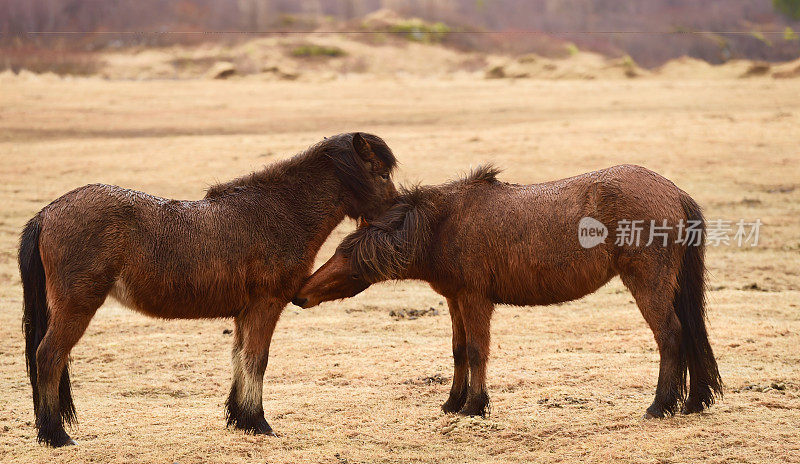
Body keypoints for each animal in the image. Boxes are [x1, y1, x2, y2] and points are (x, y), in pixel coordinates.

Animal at [21, 131, 400, 446]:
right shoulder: (265, 306)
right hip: (76, 307)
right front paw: (259, 423)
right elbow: (256, 360)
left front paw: (241, 419)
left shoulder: (245, 312)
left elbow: (239, 358)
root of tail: (47, 213)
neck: (279, 213)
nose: (399, 215)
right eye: (382, 175)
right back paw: (56, 435)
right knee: (49, 357)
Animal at [294, 166, 724, 420]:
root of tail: (673, 191)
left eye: (345, 252)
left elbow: (475, 351)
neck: (442, 225)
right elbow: (458, 351)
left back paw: (660, 405)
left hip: (648, 283)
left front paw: (474, 406)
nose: (299, 294)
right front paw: (452, 403)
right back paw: (692, 401)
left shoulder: (474, 299)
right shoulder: (455, 300)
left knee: (670, 335)